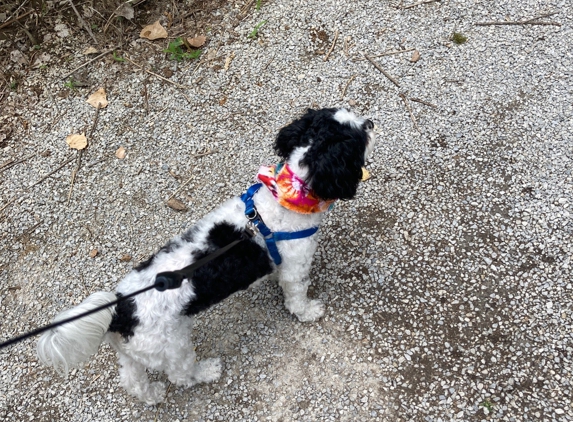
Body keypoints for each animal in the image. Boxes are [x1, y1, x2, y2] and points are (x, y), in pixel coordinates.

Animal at [36, 107, 376, 404]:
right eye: (357, 137)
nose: (371, 122)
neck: (285, 196)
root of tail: (121, 309)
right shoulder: (297, 265)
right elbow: (296, 297)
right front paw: (307, 311)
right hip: (173, 348)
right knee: (180, 375)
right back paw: (206, 372)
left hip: (134, 352)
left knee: (132, 381)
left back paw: (152, 395)